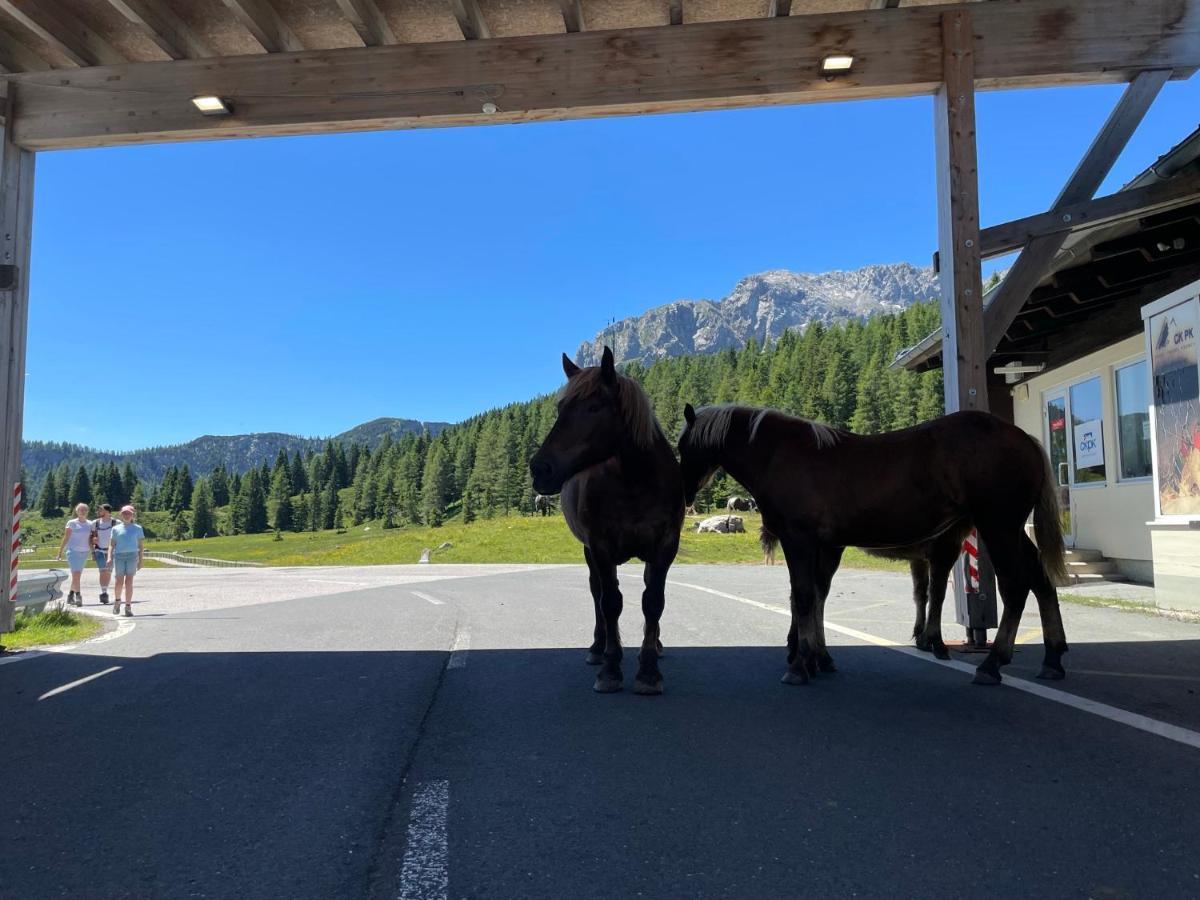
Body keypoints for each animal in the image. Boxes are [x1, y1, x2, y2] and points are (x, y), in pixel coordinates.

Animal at [532, 348, 691, 696]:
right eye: (561, 407)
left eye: (594, 407)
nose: (539, 469)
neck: (636, 482)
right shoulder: (601, 547)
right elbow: (610, 603)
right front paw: (610, 668)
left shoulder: (665, 546)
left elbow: (653, 602)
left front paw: (649, 671)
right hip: (590, 552)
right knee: (598, 593)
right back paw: (598, 647)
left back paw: (654, 645)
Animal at [681, 405, 1065, 686]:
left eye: (684, 446)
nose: (684, 494)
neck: (782, 453)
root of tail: (1025, 439)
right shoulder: (826, 546)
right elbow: (815, 597)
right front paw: (818, 657)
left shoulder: (799, 540)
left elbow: (803, 596)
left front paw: (801, 663)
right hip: (1010, 530)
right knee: (1041, 580)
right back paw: (1053, 657)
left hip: (998, 527)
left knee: (1016, 587)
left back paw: (992, 663)